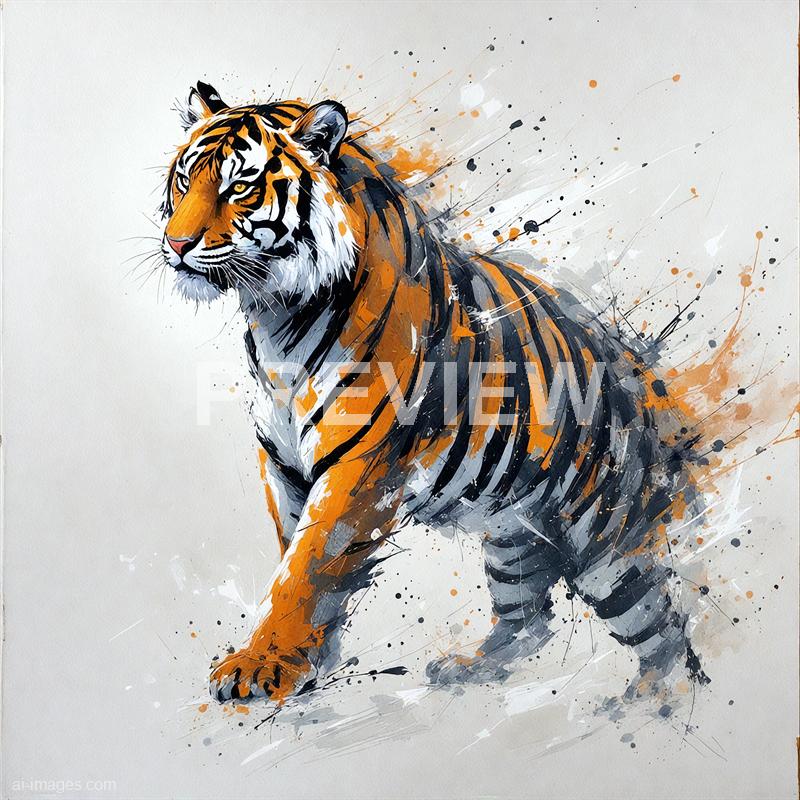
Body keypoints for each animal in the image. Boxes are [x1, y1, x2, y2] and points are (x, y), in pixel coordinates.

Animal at [158, 80, 709, 704]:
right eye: (185, 180)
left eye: (240, 186)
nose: (177, 243)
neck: (274, 317)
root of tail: (642, 377)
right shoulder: (283, 464)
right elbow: (291, 556)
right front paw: (309, 663)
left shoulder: (359, 466)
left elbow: (307, 568)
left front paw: (259, 667)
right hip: (510, 530)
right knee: (529, 615)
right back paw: (470, 669)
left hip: (605, 540)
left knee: (661, 628)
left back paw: (650, 701)